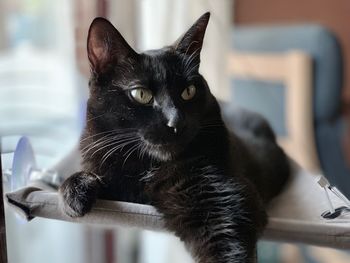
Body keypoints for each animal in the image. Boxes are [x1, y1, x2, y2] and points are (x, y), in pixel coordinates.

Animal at [59, 12, 290, 263]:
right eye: (141, 94)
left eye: (188, 91)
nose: (176, 122)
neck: (147, 168)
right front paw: (75, 192)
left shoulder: (224, 206)